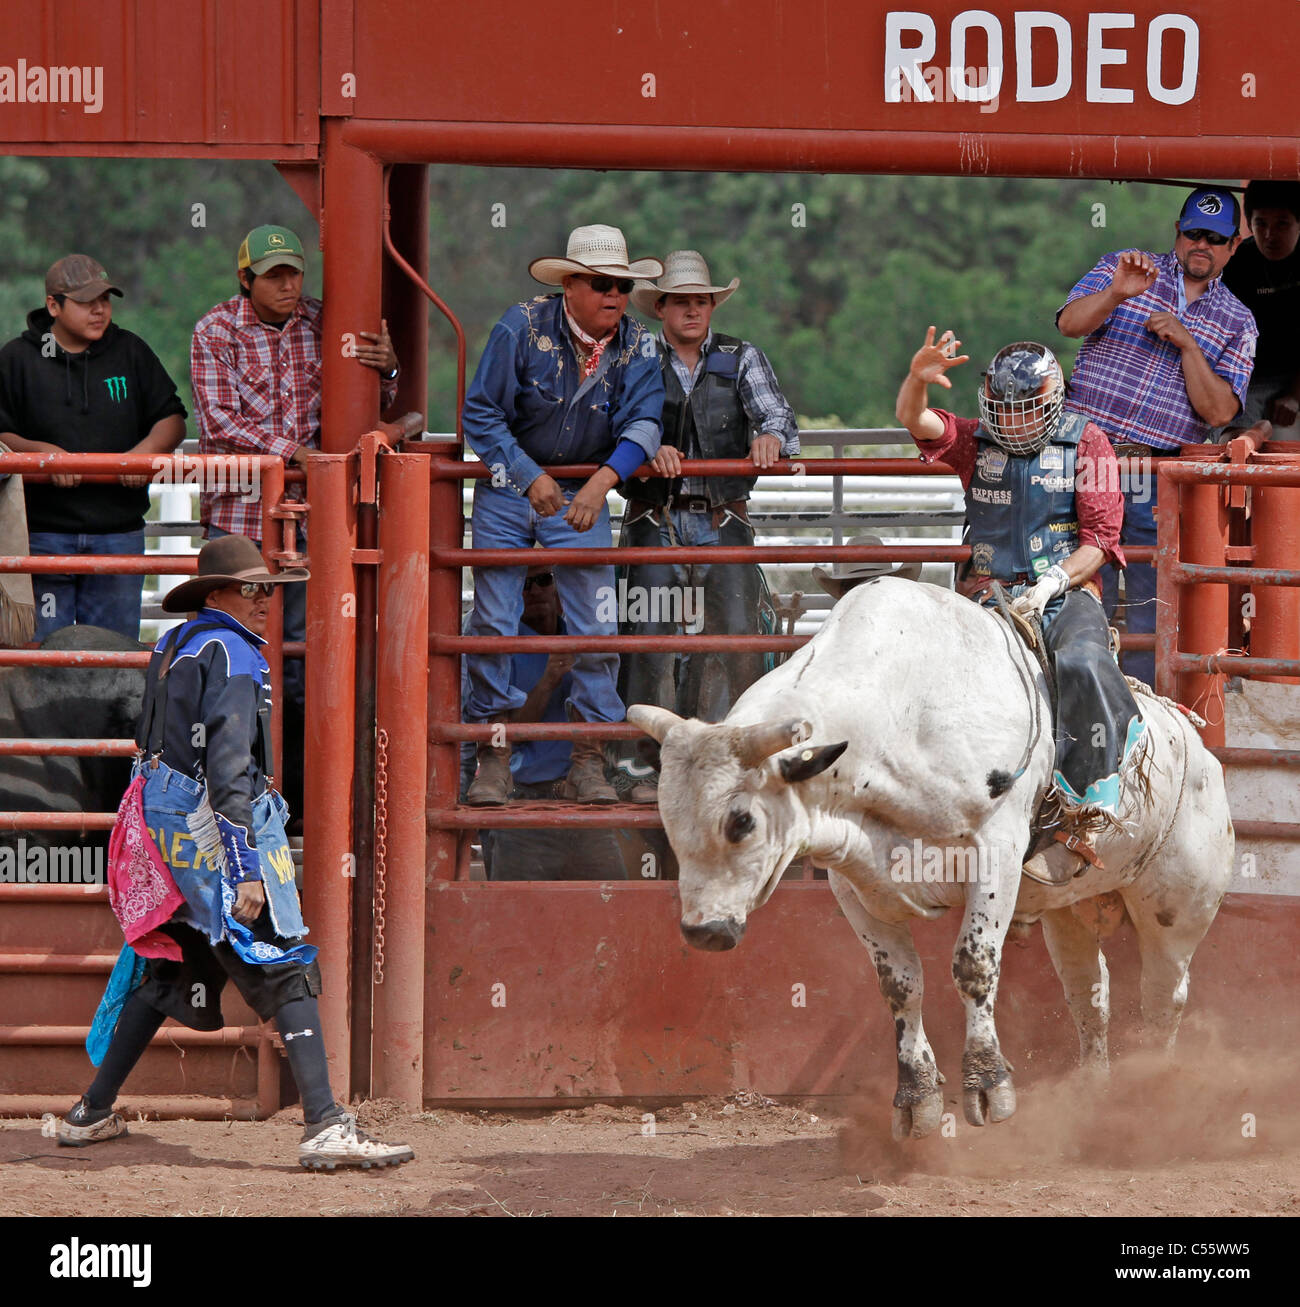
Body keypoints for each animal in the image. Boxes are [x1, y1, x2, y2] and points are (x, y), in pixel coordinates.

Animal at [629, 577, 1234, 1139]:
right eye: (668, 818)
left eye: (742, 820)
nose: (703, 931)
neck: (901, 713)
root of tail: (1194, 740)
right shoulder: (852, 883)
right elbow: (899, 984)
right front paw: (916, 1098)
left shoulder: (996, 849)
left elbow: (973, 965)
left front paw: (987, 1085)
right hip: (1070, 914)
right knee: (1090, 994)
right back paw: (1094, 1093)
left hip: (1178, 909)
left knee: (1162, 996)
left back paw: (1149, 1091)